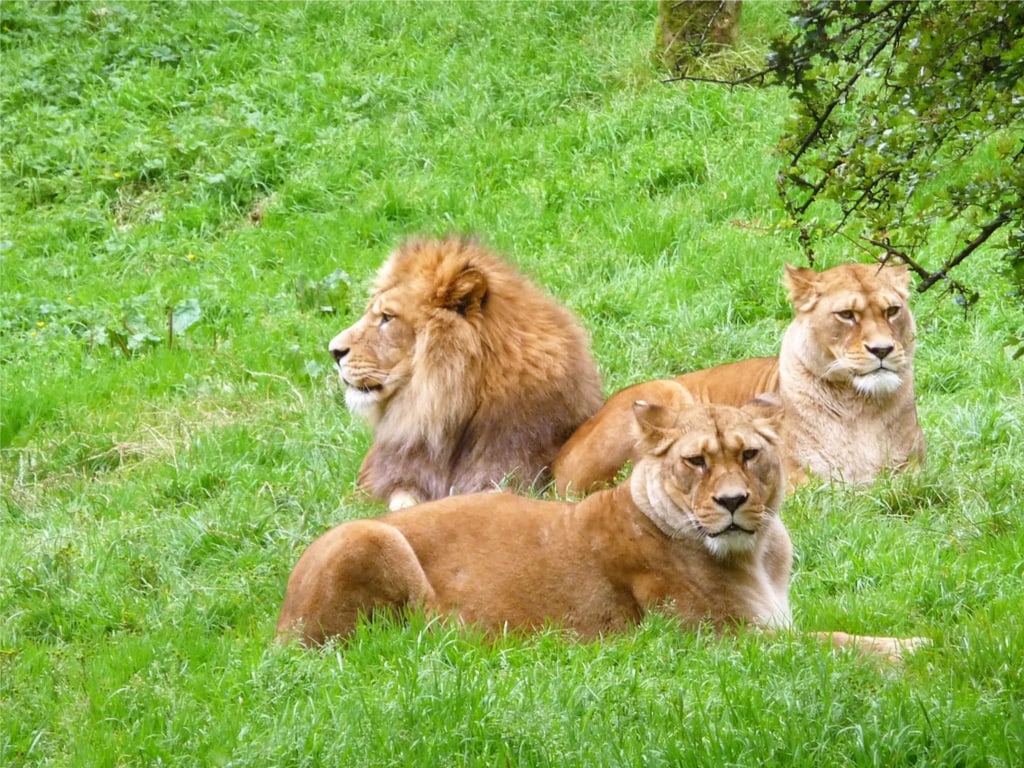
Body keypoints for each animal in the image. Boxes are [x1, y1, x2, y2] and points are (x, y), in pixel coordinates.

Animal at [276, 403, 925, 663]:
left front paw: (911, 642)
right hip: (371, 540)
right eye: (696, 461)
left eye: (749, 454)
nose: (734, 502)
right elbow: (833, 643)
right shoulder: (724, 643)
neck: (759, 552)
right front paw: (921, 649)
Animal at [557, 264, 925, 493]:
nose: (882, 349)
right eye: (847, 315)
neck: (858, 407)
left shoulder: (916, 470)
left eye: (892, 311)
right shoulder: (788, 480)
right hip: (667, 391)